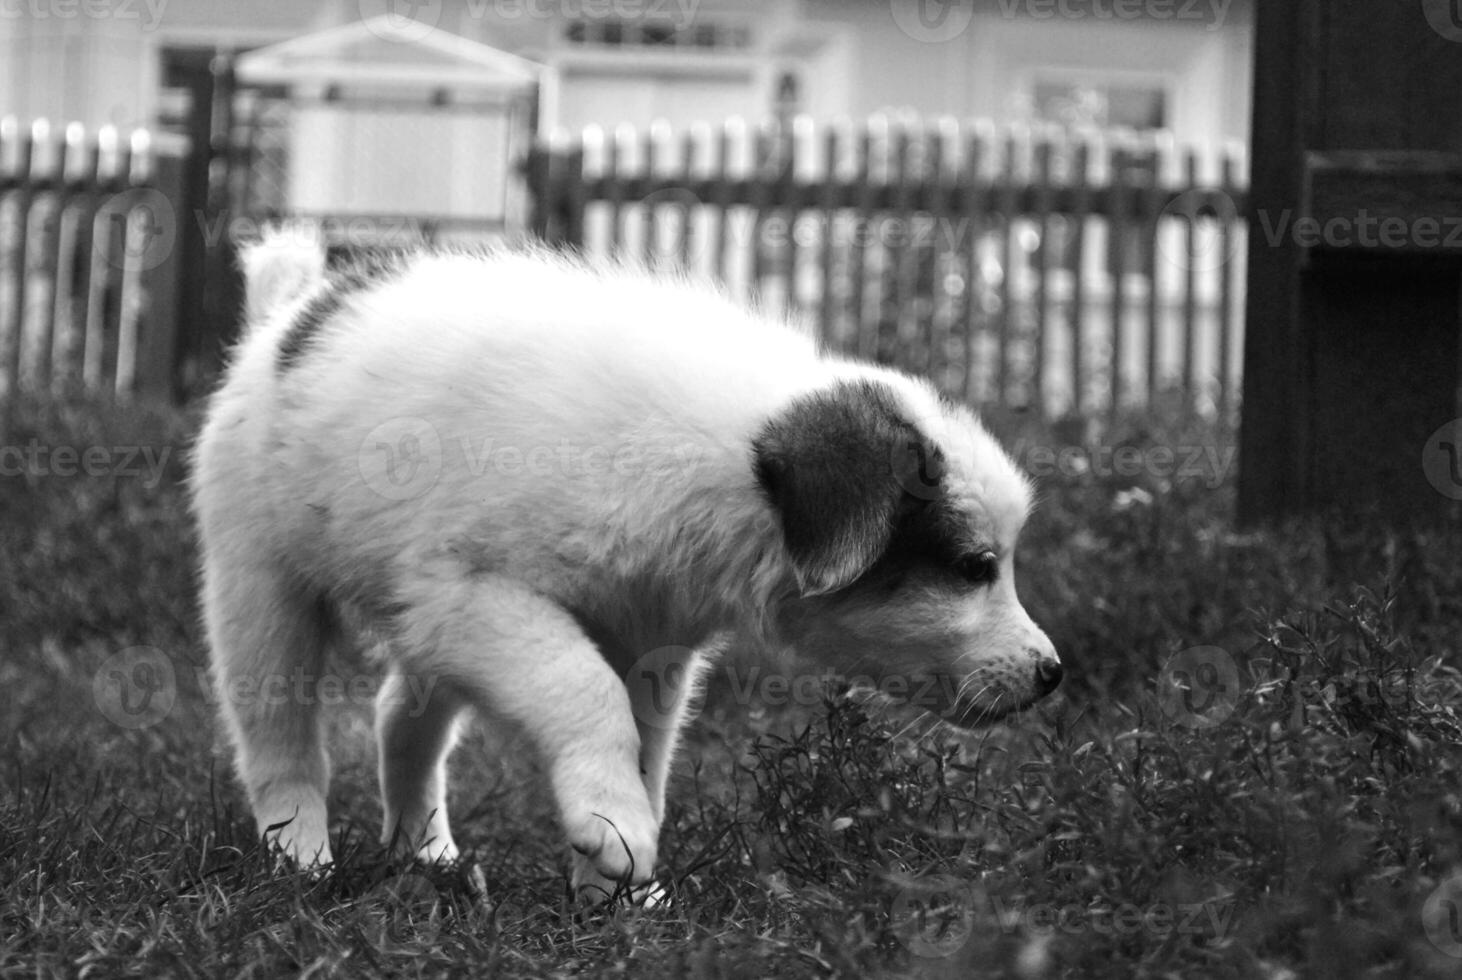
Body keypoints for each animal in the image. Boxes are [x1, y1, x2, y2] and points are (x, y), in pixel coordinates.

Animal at [194, 234, 1064, 901]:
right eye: (974, 566)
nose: (1052, 673)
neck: (721, 460)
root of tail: (290, 314)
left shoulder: (647, 643)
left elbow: (645, 752)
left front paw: (621, 891)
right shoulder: (482, 595)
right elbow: (587, 693)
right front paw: (613, 834)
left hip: (422, 629)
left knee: (400, 717)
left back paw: (426, 851)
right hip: (260, 583)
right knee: (279, 736)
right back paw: (298, 856)